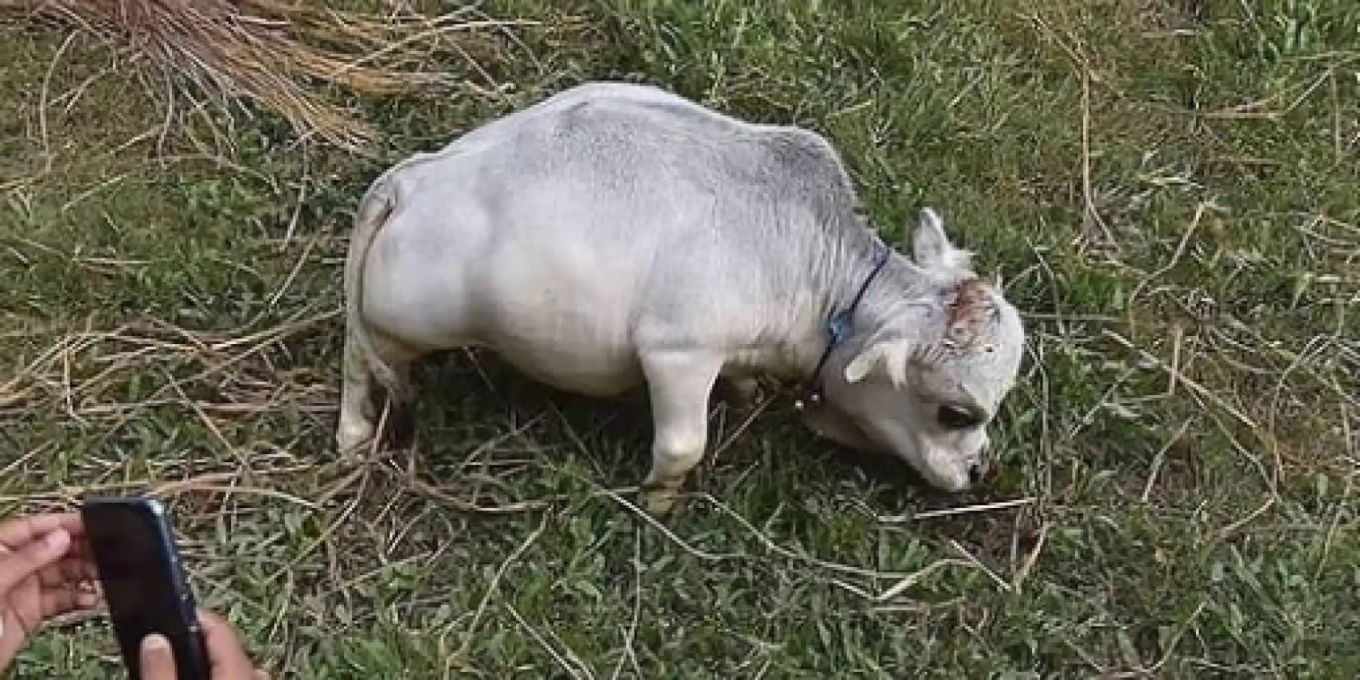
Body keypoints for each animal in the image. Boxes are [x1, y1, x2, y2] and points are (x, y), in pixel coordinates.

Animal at [336, 82, 1025, 515]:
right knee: (360, 358)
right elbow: (680, 447)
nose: (978, 471)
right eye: (956, 414)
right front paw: (659, 505)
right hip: (406, 324)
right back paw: (353, 435)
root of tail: (414, 177)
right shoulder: (679, 351)